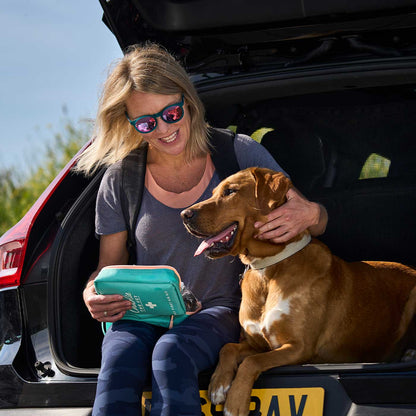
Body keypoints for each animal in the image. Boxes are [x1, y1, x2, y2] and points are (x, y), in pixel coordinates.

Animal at [181, 167, 416, 416]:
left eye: (230, 191)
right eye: (215, 192)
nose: (184, 214)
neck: (268, 269)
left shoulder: (298, 348)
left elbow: (251, 363)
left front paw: (235, 403)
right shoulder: (257, 344)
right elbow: (228, 348)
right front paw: (218, 385)